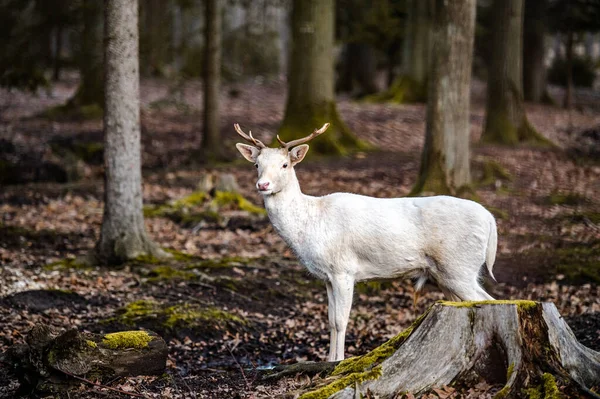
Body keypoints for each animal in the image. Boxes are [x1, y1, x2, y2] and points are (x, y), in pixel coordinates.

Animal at [234, 122, 496, 362]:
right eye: (256, 165)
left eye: (285, 165)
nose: (263, 185)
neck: (311, 225)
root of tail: (491, 221)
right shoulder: (327, 277)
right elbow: (330, 321)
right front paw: (328, 360)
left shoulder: (343, 270)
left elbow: (341, 321)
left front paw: (338, 362)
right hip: (446, 274)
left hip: (459, 267)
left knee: (489, 300)